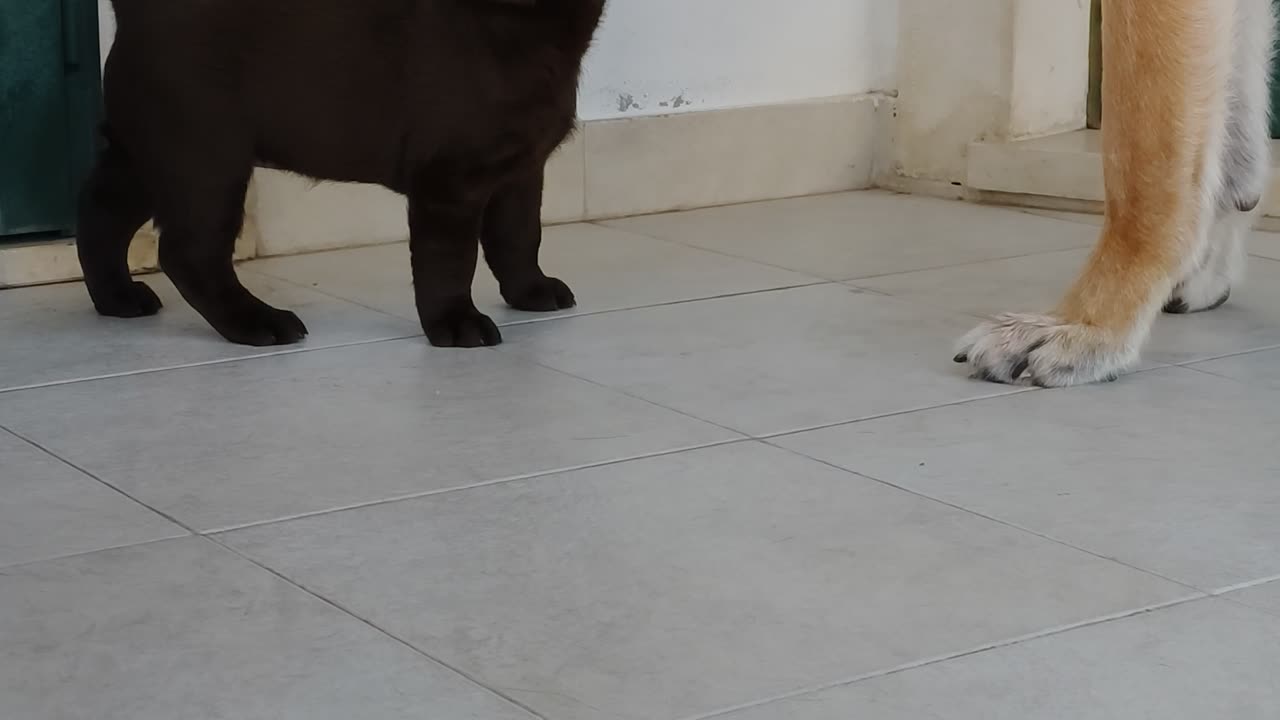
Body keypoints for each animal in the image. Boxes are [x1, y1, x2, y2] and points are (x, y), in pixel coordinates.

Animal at [81, 0, 609, 348]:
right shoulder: (449, 183)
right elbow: (449, 261)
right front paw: (454, 322)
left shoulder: (520, 171)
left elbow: (518, 238)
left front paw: (530, 291)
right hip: (206, 158)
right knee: (189, 253)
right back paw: (256, 323)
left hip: (149, 156)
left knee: (100, 216)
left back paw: (117, 297)